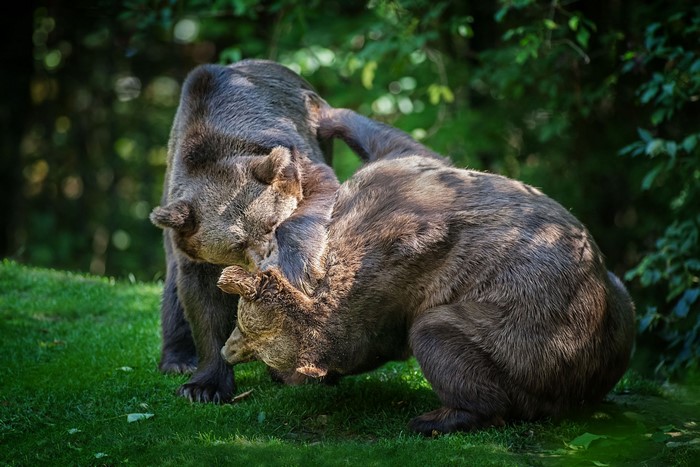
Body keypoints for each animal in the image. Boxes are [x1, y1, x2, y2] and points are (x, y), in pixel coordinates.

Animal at [149, 59, 340, 403]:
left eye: (272, 224)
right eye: (236, 244)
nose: (266, 265)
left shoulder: (294, 154)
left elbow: (318, 194)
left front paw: (299, 268)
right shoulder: (192, 245)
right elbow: (202, 301)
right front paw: (204, 386)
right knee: (172, 291)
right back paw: (178, 360)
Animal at [216, 104, 636, 434]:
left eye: (252, 336)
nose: (227, 350)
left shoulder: (396, 260)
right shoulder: (407, 175)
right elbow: (401, 144)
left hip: (533, 328)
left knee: (441, 335)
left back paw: (437, 418)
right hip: (615, 303)